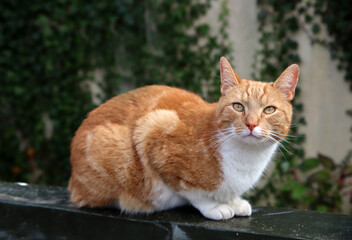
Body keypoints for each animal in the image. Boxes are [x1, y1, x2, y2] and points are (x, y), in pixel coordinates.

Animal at [67, 57, 298, 220]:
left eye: (269, 110)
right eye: (238, 107)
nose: (251, 124)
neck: (246, 159)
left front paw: (233, 201)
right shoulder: (155, 131)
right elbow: (192, 191)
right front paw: (215, 206)